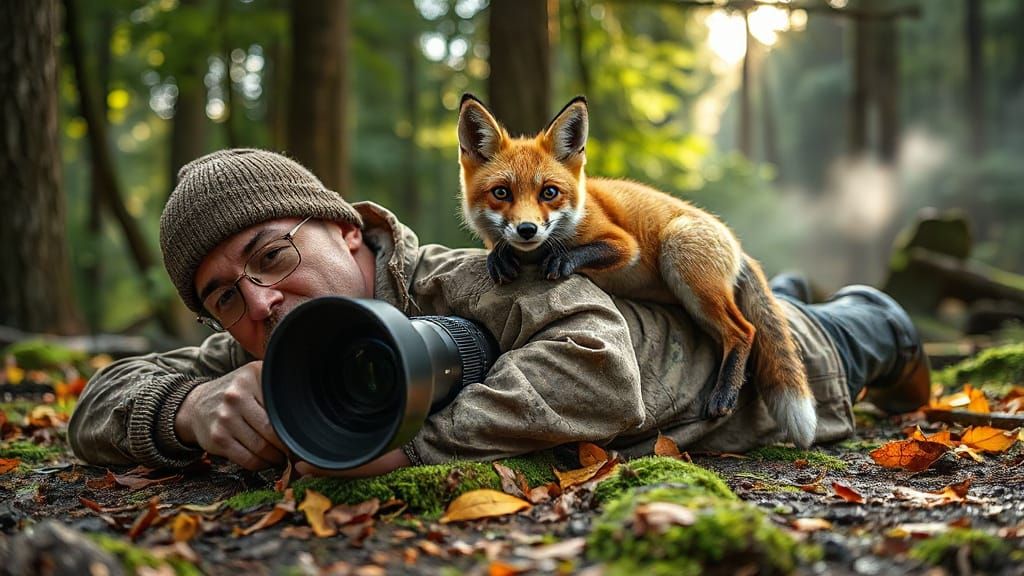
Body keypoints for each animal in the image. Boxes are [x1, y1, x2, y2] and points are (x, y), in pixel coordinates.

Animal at [456, 93, 817, 448]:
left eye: (549, 192)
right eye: (501, 192)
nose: (527, 229)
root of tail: (736, 244)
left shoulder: (626, 245)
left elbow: (587, 251)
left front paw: (561, 259)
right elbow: (499, 250)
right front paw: (500, 256)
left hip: (680, 258)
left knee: (744, 330)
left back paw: (725, 393)